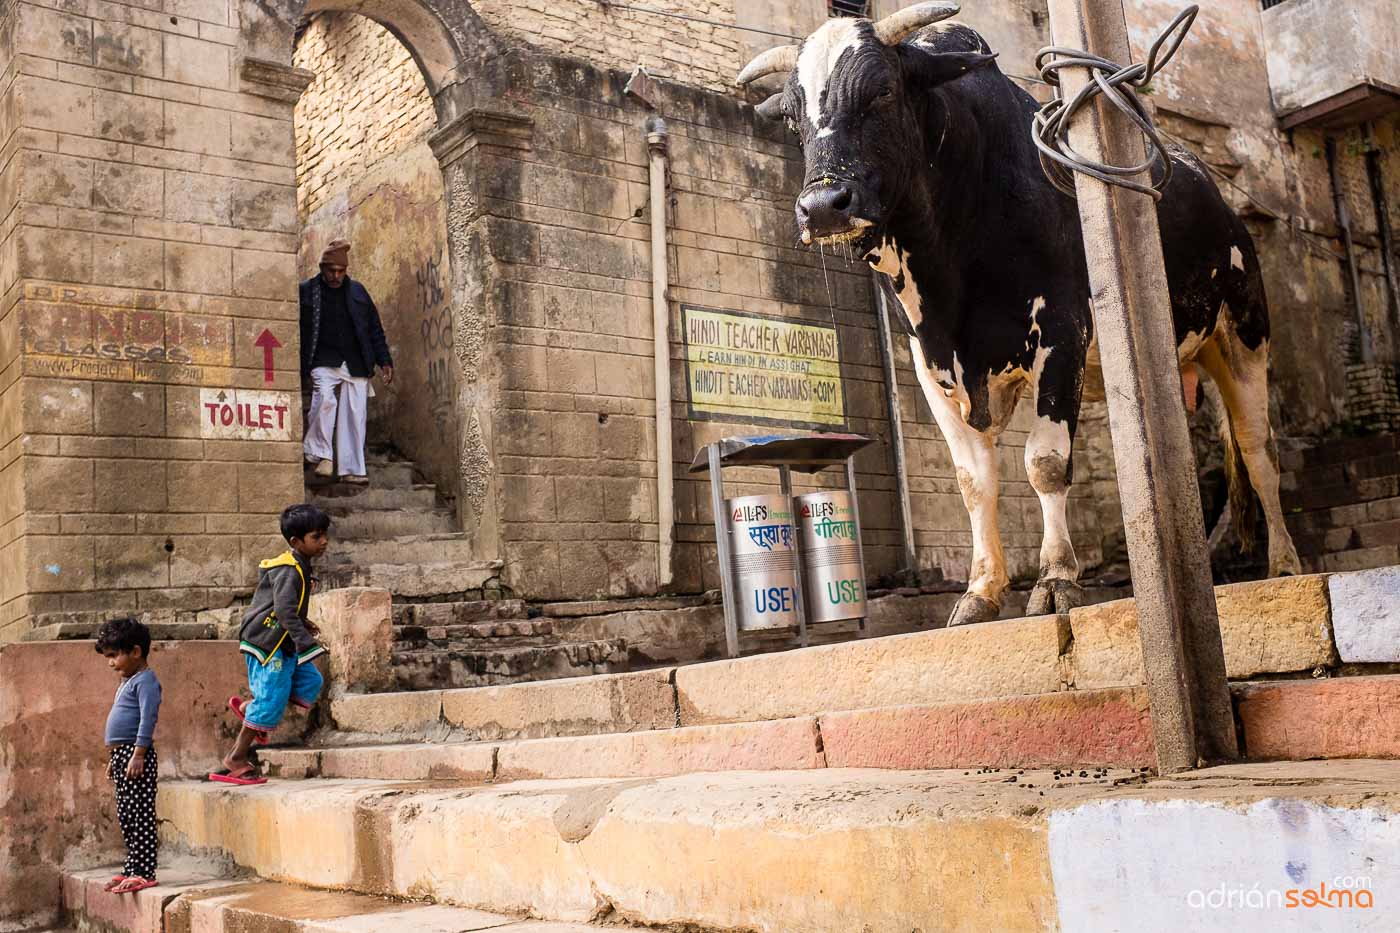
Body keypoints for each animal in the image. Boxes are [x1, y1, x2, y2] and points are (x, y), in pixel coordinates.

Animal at [744, 3, 1299, 624]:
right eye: (791, 116)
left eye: (883, 89)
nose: (821, 206)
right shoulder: (930, 363)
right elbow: (974, 482)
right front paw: (980, 591)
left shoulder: (1060, 334)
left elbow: (1046, 464)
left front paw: (1056, 579)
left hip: (1245, 337)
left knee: (1259, 451)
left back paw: (1284, 565)